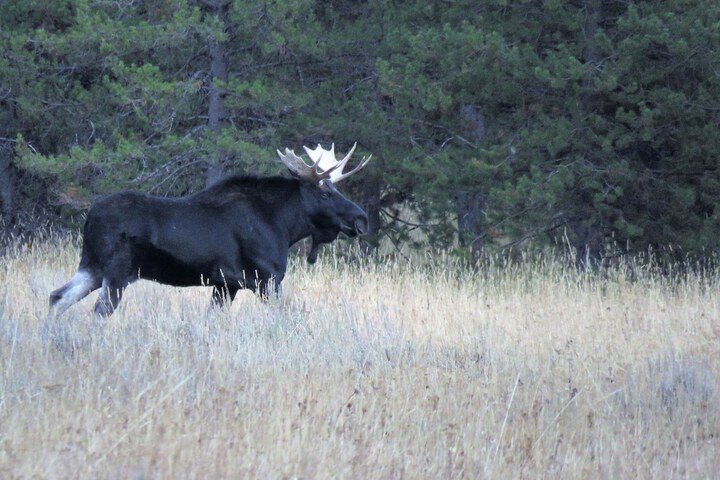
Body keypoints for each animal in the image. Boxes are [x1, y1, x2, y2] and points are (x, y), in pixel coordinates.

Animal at [47, 142, 372, 318]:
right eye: (325, 193)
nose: (362, 219)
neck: (284, 226)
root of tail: (89, 217)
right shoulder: (266, 279)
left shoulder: (225, 285)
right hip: (116, 273)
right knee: (98, 311)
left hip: (92, 267)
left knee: (57, 297)